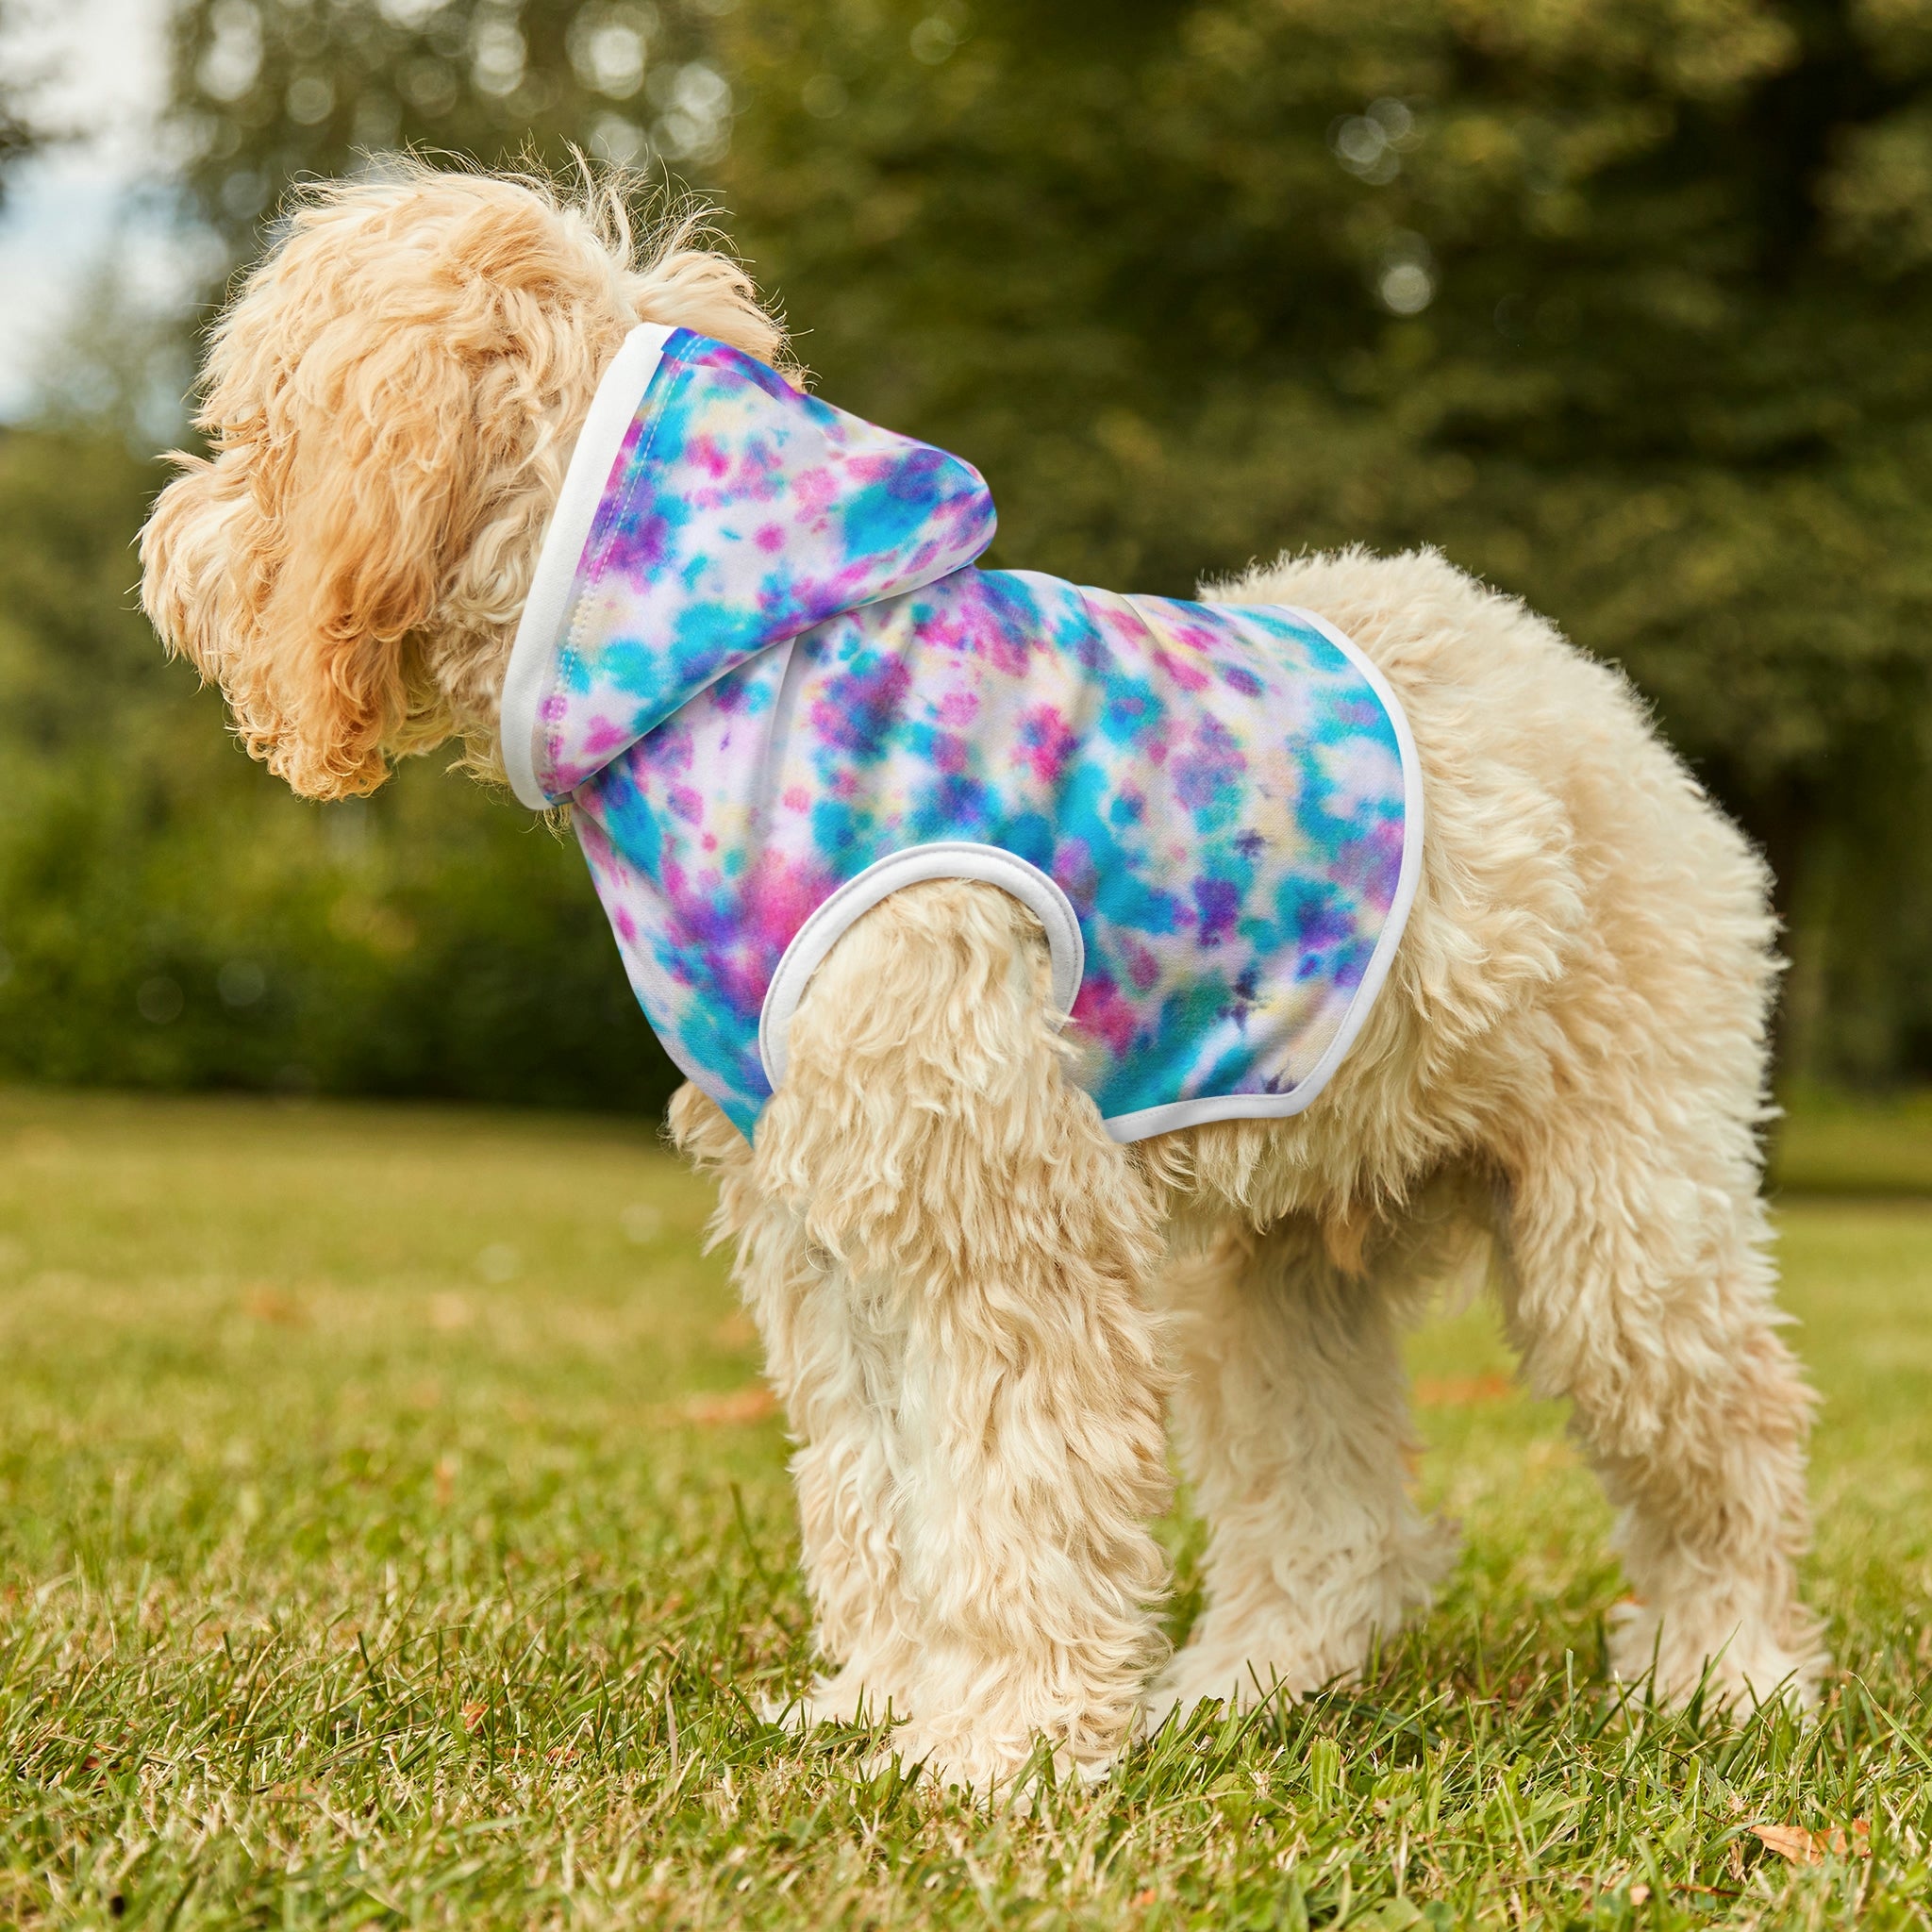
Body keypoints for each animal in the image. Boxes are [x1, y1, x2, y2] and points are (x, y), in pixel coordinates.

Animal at [142, 170, 1816, 1792]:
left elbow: (1015, 1489)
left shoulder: (995, 1207)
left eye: (255, 430)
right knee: (1335, 1518)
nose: (165, 544)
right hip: (1272, 1268)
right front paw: (885, 1703)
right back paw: (1244, 1687)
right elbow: (878, 1486)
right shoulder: (826, 1219)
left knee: (1732, 1437)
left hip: (1624, 1223)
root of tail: (1584, 693)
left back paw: (1729, 1677)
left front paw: (999, 1746)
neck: (728, 668)